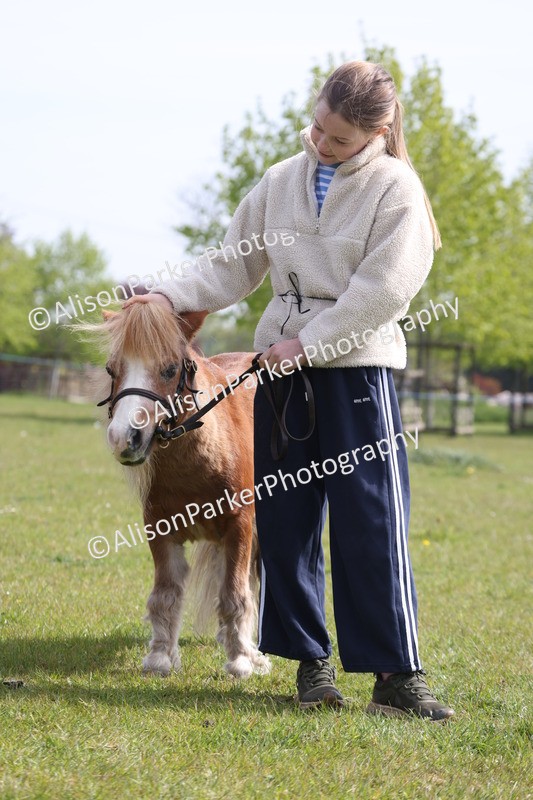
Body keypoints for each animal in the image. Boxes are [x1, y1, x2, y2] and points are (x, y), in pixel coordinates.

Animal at [87, 303, 271, 679]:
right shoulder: (160, 531)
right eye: (112, 369)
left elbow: (235, 594)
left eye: (170, 369)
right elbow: (166, 594)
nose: (123, 438)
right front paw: (160, 656)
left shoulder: (241, 528)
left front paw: (241, 660)